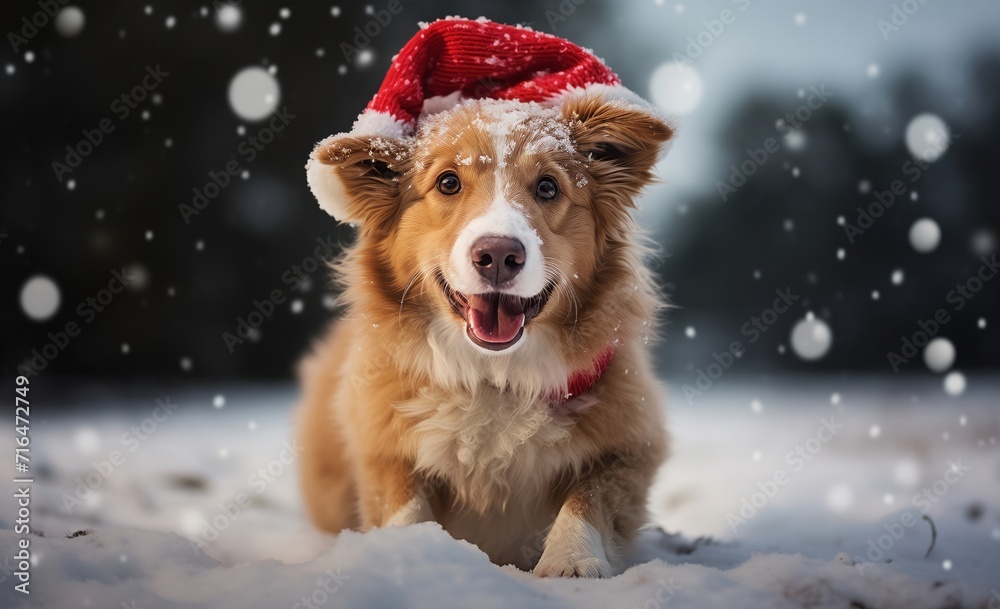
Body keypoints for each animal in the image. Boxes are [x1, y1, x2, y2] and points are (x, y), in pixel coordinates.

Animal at [296, 20, 672, 580]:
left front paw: (571, 559)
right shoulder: (381, 441)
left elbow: (588, 497)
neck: (495, 379)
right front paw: (405, 554)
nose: (498, 255)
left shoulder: (627, 442)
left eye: (548, 187)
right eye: (448, 182)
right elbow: (403, 500)